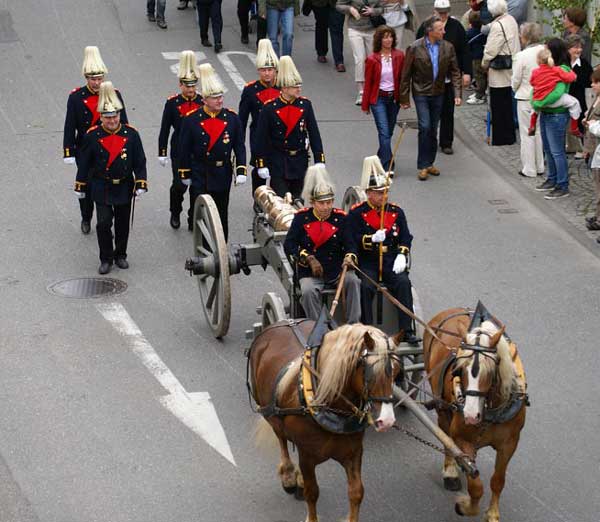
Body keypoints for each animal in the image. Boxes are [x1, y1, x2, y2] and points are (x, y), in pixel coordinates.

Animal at [248, 316, 404, 520]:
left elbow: (356, 492)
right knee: (281, 437)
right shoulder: (307, 456)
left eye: (397, 370)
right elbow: (312, 492)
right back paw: (289, 476)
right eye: (370, 372)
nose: (386, 421)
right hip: (271, 413)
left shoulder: (353, 452)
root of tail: (284, 321)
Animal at [424, 304, 528, 520]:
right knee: (446, 436)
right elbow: (475, 485)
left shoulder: (510, 443)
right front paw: (466, 506)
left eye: (490, 371)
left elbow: (498, 480)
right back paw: (451, 471)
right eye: (459, 369)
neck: (491, 411)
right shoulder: (463, 439)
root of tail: (454, 310)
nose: (471, 416)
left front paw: (493, 514)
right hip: (442, 408)